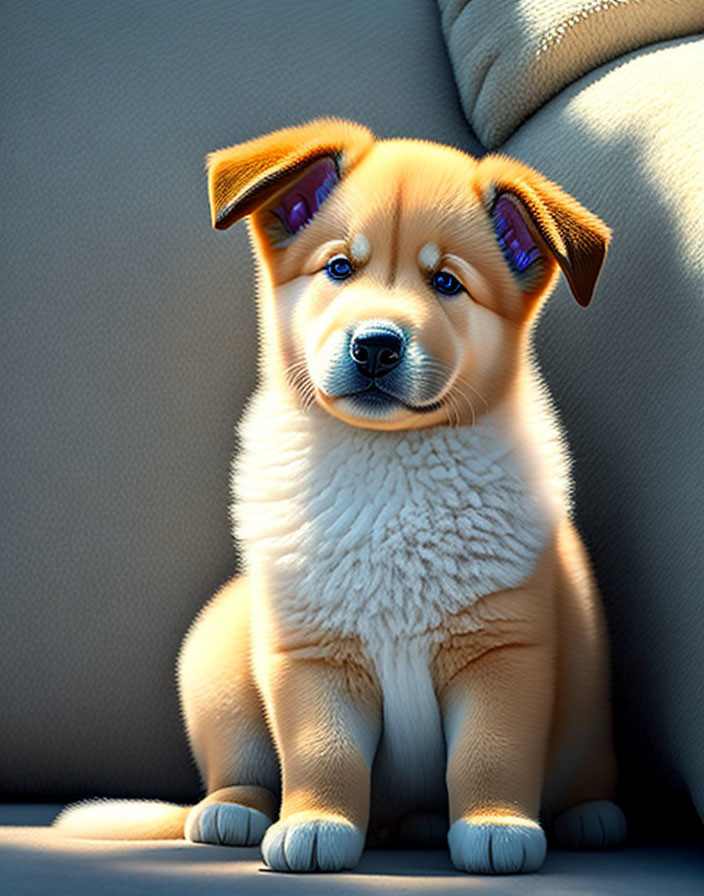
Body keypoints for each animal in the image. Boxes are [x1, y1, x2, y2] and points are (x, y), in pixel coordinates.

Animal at [55, 119, 628, 876]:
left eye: (447, 283)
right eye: (338, 269)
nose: (376, 346)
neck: (385, 461)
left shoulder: (503, 652)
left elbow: (490, 752)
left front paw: (495, 827)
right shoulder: (311, 656)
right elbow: (323, 753)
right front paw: (315, 825)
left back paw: (583, 815)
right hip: (215, 658)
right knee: (240, 765)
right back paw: (231, 811)